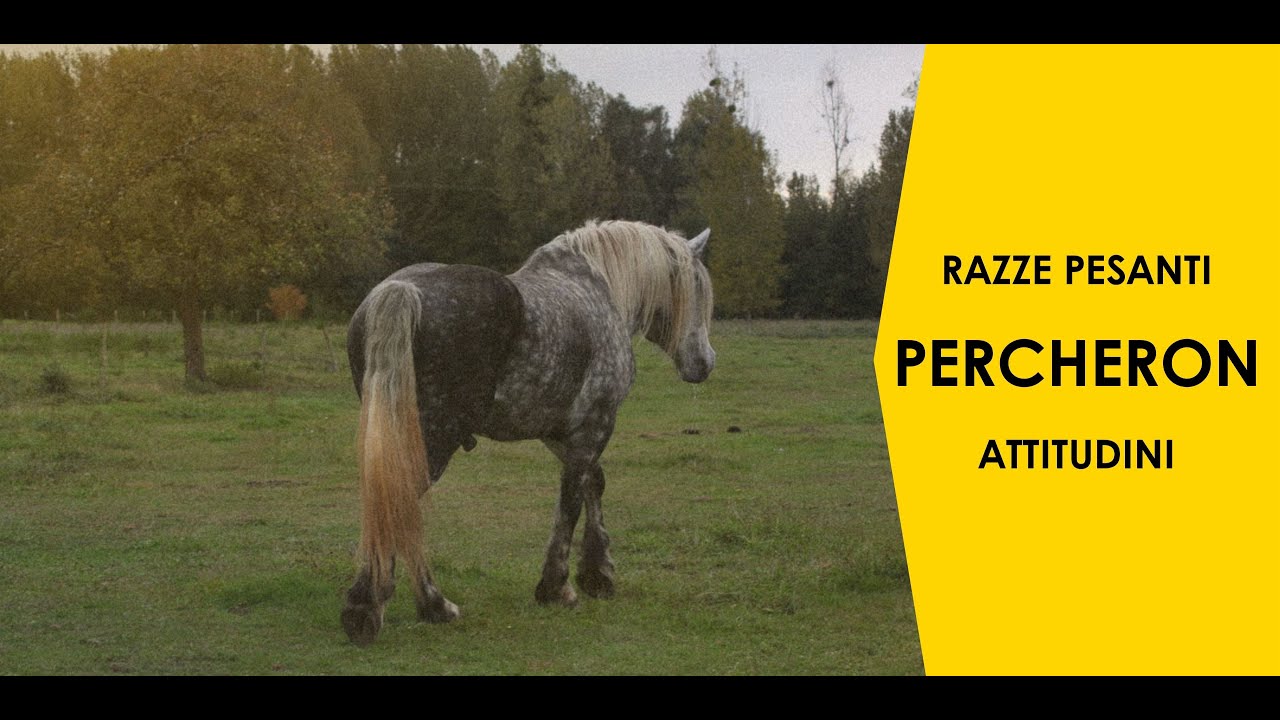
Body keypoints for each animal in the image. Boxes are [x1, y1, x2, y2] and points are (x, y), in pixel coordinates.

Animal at [340, 219, 716, 645]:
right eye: (697, 286)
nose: (704, 363)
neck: (597, 288)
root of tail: (401, 291)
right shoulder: (594, 423)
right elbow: (571, 498)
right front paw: (558, 587)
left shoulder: (558, 431)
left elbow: (593, 484)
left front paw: (597, 573)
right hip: (430, 442)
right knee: (399, 503)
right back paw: (418, 606)